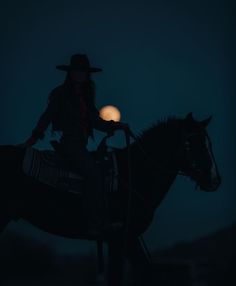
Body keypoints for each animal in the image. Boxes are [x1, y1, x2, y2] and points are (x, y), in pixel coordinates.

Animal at [0, 113, 221, 284]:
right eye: (190, 143)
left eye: (208, 143)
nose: (214, 180)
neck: (134, 173)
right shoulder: (121, 237)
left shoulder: (126, 239)